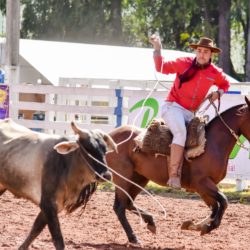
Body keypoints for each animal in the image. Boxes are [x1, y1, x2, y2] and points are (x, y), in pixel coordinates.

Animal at [105, 95, 250, 244]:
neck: (211, 144)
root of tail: (110, 135)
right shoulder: (202, 183)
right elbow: (223, 201)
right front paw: (208, 226)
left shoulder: (204, 188)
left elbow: (215, 207)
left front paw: (194, 225)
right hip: (123, 178)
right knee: (120, 207)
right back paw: (133, 238)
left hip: (139, 178)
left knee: (128, 203)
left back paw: (150, 222)